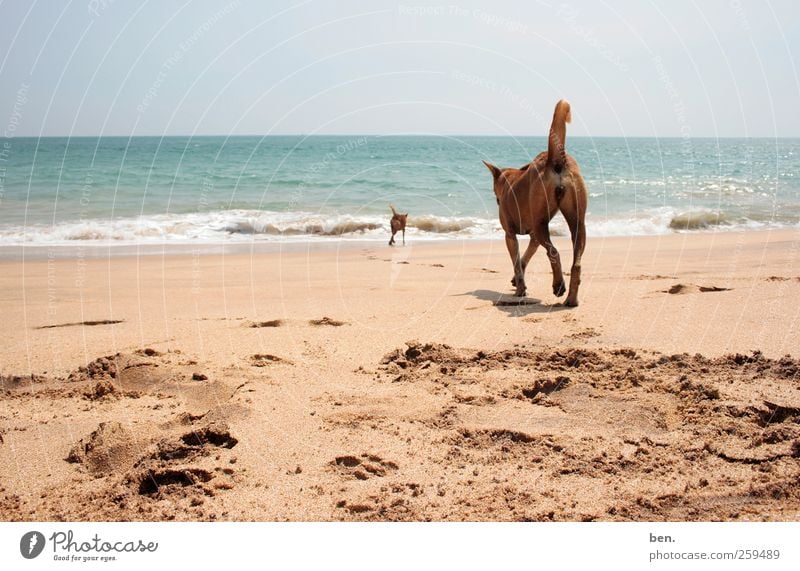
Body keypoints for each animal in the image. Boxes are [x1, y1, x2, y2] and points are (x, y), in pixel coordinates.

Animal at [482, 103, 588, 308]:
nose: (497, 199)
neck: (510, 179)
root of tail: (556, 160)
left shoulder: (510, 235)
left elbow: (516, 262)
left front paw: (520, 289)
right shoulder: (533, 237)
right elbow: (523, 260)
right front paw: (517, 282)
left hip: (541, 224)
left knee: (554, 252)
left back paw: (558, 286)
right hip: (577, 222)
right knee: (576, 262)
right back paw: (571, 299)